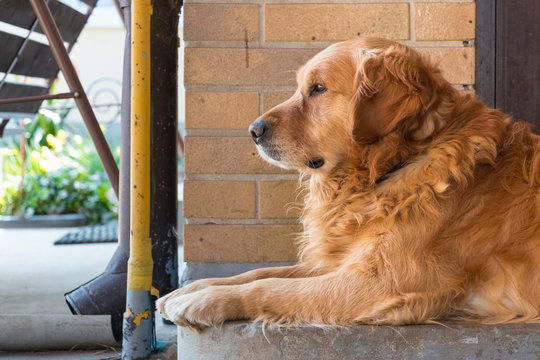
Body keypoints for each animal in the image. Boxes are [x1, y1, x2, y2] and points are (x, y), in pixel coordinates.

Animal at [156, 37, 540, 332]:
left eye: (318, 88)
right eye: (301, 87)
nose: (254, 130)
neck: (397, 164)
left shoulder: (380, 284)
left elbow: (270, 287)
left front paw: (204, 300)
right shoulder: (344, 259)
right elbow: (262, 272)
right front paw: (190, 290)